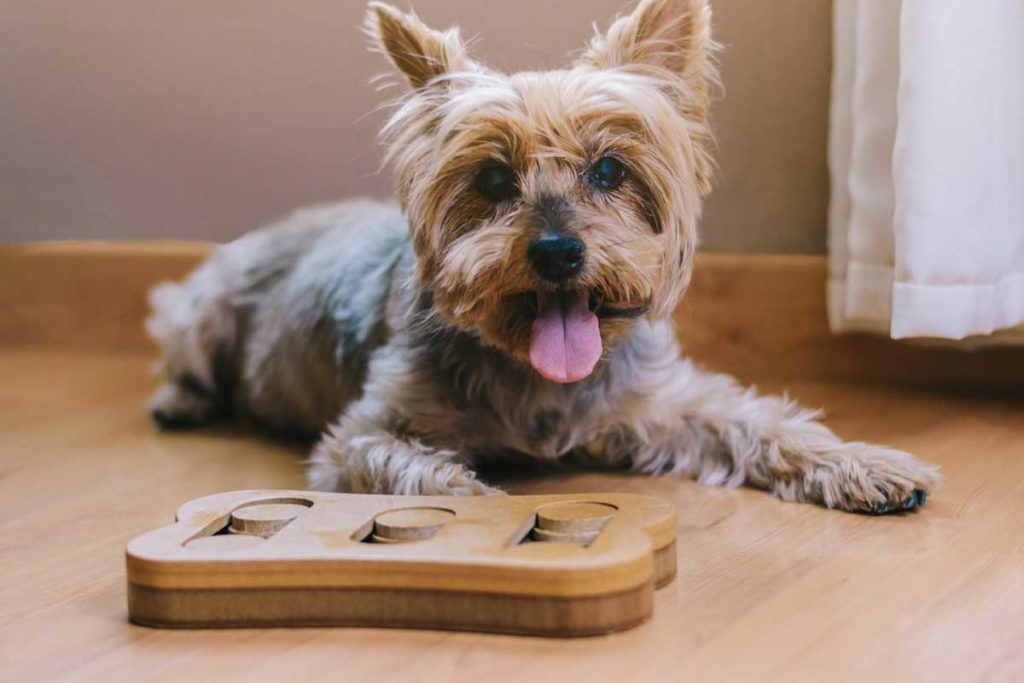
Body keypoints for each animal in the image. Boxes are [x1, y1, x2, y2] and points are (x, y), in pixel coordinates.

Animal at [148, 0, 937, 511]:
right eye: (493, 179)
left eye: (611, 170)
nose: (558, 251)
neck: (537, 374)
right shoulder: (359, 433)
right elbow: (391, 458)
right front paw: (467, 492)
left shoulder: (660, 403)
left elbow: (759, 419)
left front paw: (863, 462)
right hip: (201, 309)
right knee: (182, 346)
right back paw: (181, 400)